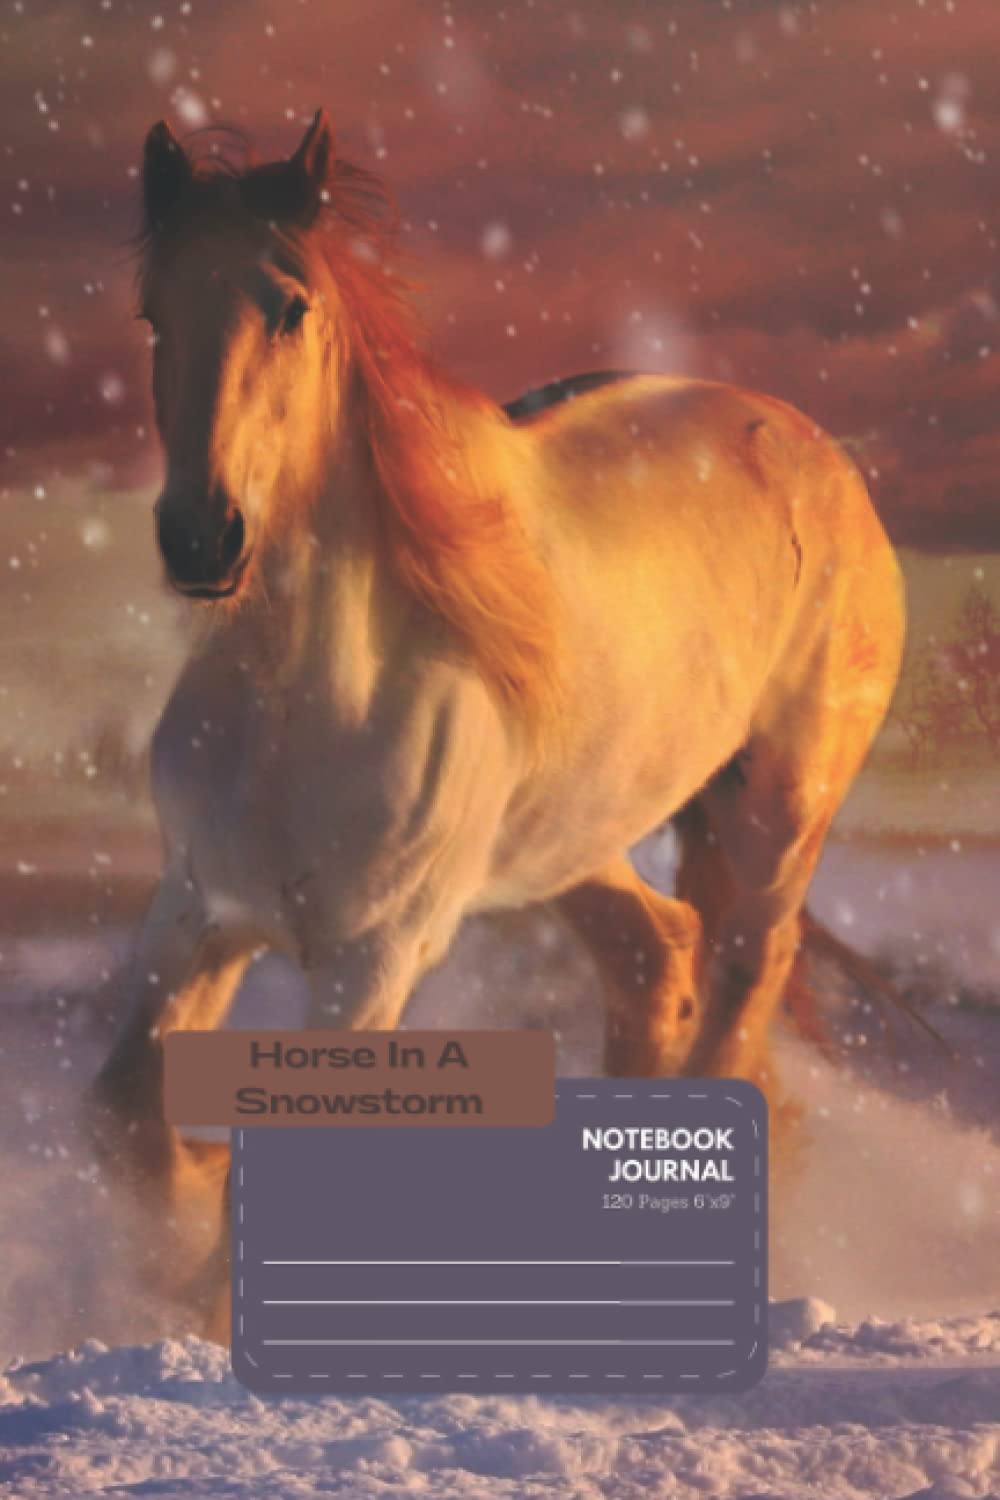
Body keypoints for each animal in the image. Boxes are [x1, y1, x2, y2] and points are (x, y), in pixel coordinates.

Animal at [87, 110, 905, 1337]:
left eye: (290, 304)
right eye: (153, 312)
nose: (201, 538)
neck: (300, 706)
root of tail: (816, 454)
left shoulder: (375, 952)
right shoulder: (197, 905)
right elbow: (126, 1117)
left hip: (779, 813)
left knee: (737, 986)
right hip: (573, 836)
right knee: (655, 952)